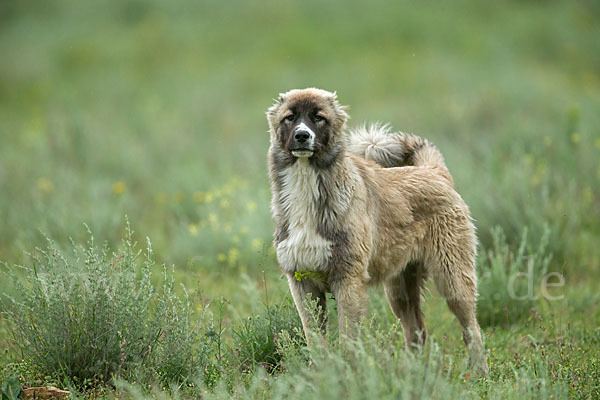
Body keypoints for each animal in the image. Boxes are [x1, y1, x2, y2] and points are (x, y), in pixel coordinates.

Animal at [266, 86, 488, 372]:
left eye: (318, 118)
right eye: (290, 117)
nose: (302, 136)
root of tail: (434, 172)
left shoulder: (348, 281)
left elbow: (349, 338)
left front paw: (350, 374)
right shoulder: (303, 283)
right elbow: (316, 341)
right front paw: (323, 375)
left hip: (454, 281)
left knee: (471, 328)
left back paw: (479, 372)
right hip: (400, 290)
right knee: (416, 330)